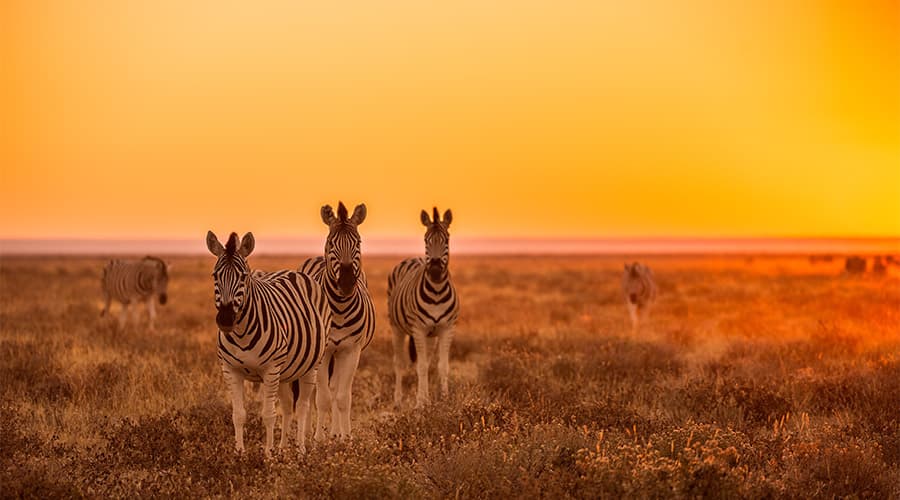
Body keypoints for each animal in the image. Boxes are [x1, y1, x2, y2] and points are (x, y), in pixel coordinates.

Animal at [206, 231, 329, 456]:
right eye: (215, 276)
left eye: (243, 277)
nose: (226, 319)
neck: (241, 334)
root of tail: (293, 272)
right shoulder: (230, 370)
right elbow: (238, 414)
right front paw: (240, 454)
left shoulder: (271, 370)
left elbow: (269, 415)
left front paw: (268, 455)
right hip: (285, 371)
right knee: (288, 405)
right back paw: (283, 449)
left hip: (311, 366)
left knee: (303, 406)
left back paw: (300, 449)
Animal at [295, 201, 376, 440]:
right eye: (331, 243)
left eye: (358, 242)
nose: (347, 283)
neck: (339, 308)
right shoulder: (324, 352)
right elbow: (322, 397)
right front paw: (318, 439)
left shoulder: (351, 350)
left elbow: (342, 396)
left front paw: (345, 437)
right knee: (314, 391)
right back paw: (310, 431)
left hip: (340, 354)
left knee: (335, 387)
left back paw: (335, 433)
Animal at [388, 207, 459, 408]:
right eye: (426, 240)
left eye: (447, 240)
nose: (434, 269)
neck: (436, 292)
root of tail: (413, 258)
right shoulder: (418, 329)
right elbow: (419, 366)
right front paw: (420, 403)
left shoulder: (446, 328)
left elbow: (442, 366)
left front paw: (444, 399)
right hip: (396, 327)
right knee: (399, 363)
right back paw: (398, 400)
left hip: (431, 335)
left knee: (426, 362)